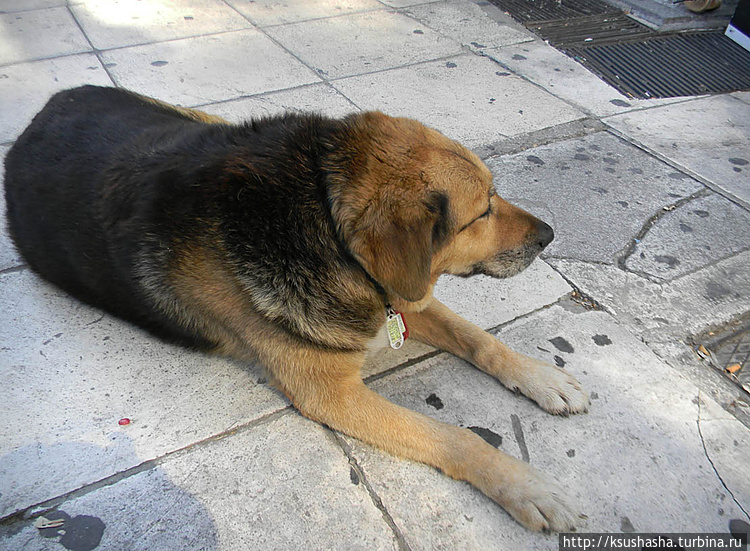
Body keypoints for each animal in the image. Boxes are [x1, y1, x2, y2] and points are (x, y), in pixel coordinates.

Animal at [4, 86, 592, 536]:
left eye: (495, 194)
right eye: (483, 211)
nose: (550, 235)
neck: (321, 215)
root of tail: (41, 114)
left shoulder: (394, 296)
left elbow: (479, 338)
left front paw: (541, 377)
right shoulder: (332, 390)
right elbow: (455, 437)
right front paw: (524, 485)